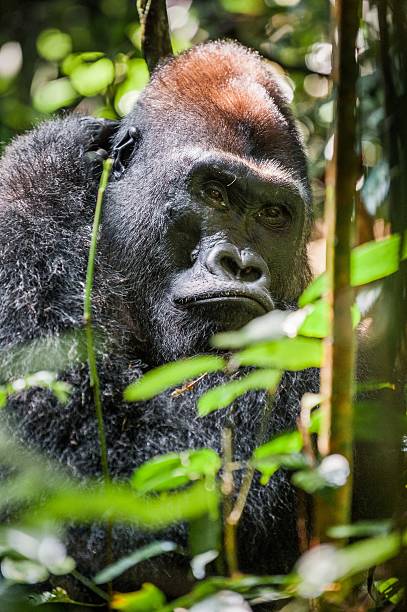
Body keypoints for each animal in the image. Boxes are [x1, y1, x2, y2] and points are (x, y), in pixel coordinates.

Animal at [0, 44, 318, 604]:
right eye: (214, 193)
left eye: (273, 214)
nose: (241, 265)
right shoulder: (15, 249)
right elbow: (85, 455)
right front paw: (48, 161)